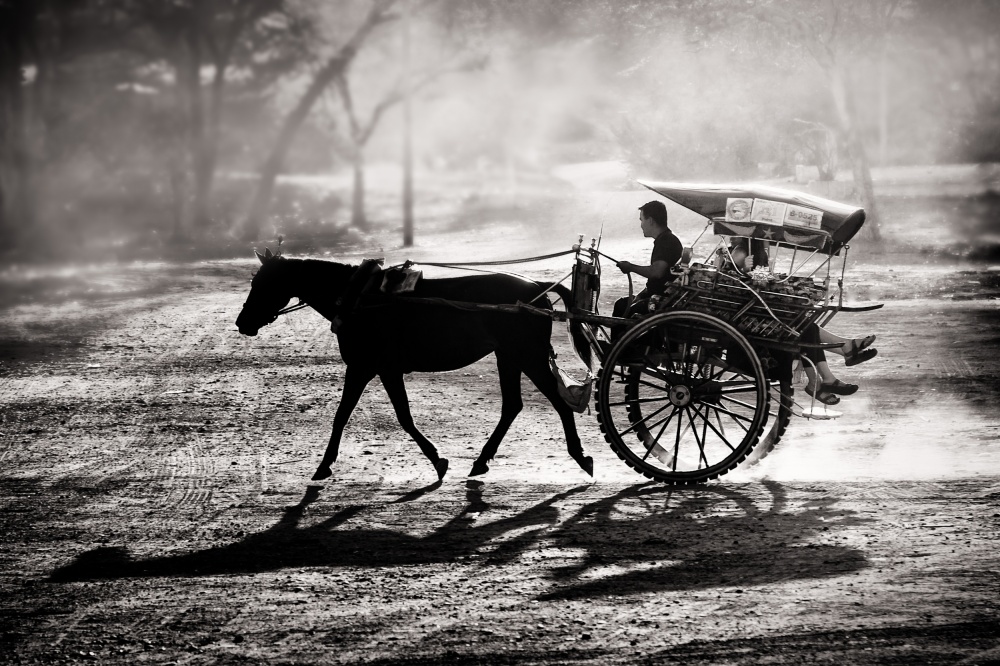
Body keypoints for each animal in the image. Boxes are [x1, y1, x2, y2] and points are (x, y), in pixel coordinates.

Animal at [235, 250, 594, 482]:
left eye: (264, 284)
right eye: (254, 280)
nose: (242, 323)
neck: (358, 298)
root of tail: (538, 289)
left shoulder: (375, 368)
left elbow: (400, 418)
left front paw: (437, 461)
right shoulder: (368, 368)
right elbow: (345, 415)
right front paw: (325, 465)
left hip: (527, 355)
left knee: (557, 402)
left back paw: (580, 455)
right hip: (508, 356)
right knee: (512, 406)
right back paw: (480, 461)